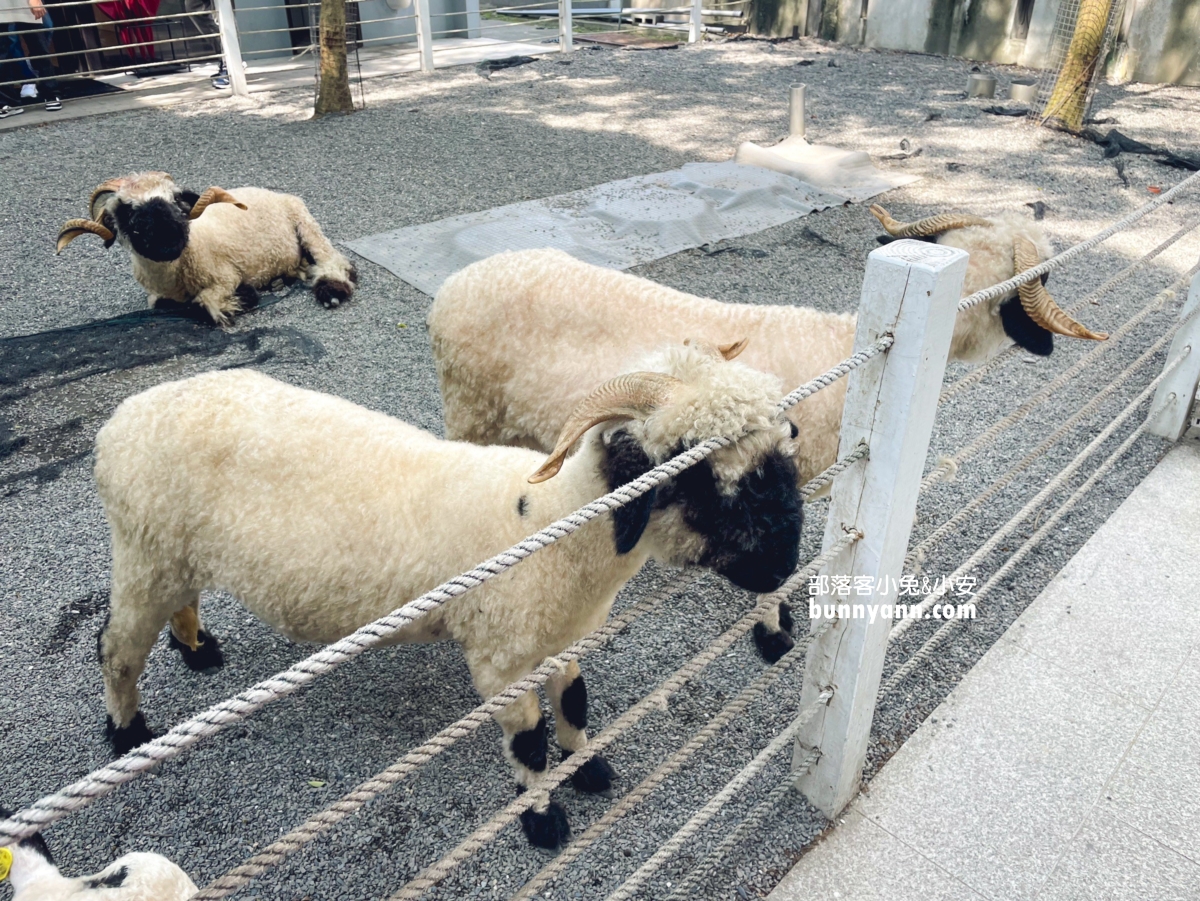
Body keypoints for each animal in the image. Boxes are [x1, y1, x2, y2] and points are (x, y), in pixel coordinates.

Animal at [56, 171, 355, 323]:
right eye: (126, 210)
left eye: (176, 202)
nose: (168, 239)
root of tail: (273, 192)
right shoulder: (155, 294)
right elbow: (160, 305)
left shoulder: (225, 277)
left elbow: (206, 303)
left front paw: (244, 297)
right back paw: (281, 280)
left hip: (305, 223)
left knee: (334, 261)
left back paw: (331, 291)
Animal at [96, 340, 806, 849]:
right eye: (694, 469)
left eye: (783, 442)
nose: (784, 563)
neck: (551, 524)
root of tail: (120, 421)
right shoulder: (500, 661)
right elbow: (529, 743)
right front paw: (543, 820)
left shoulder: (561, 641)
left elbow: (575, 706)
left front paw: (591, 770)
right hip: (144, 548)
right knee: (117, 647)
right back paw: (128, 735)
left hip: (174, 553)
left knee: (180, 603)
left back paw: (198, 650)